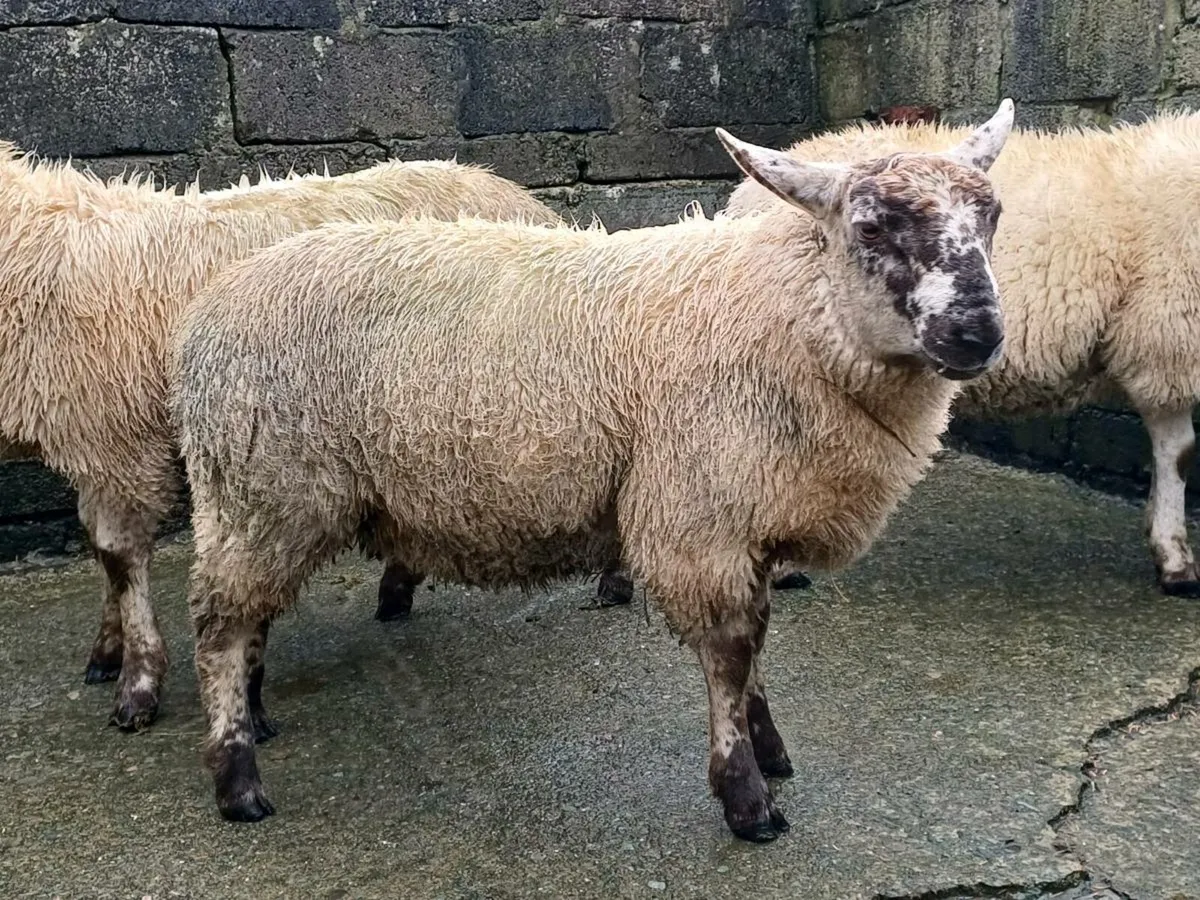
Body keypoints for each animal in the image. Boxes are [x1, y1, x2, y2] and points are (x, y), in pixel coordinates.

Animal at [0, 144, 562, 732]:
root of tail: (515, 193)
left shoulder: (116, 441)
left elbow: (119, 557)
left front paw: (138, 683)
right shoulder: (97, 441)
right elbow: (104, 553)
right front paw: (109, 653)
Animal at [169, 100, 1015, 840]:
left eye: (993, 216)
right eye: (871, 225)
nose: (978, 333)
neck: (787, 316)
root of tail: (206, 314)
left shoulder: (746, 515)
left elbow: (758, 646)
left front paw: (769, 750)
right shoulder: (698, 518)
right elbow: (732, 655)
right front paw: (747, 798)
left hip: (257, 498)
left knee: (248, 614)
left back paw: (256, 716)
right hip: (265, 487)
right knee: (220, 627)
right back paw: (236, 779)